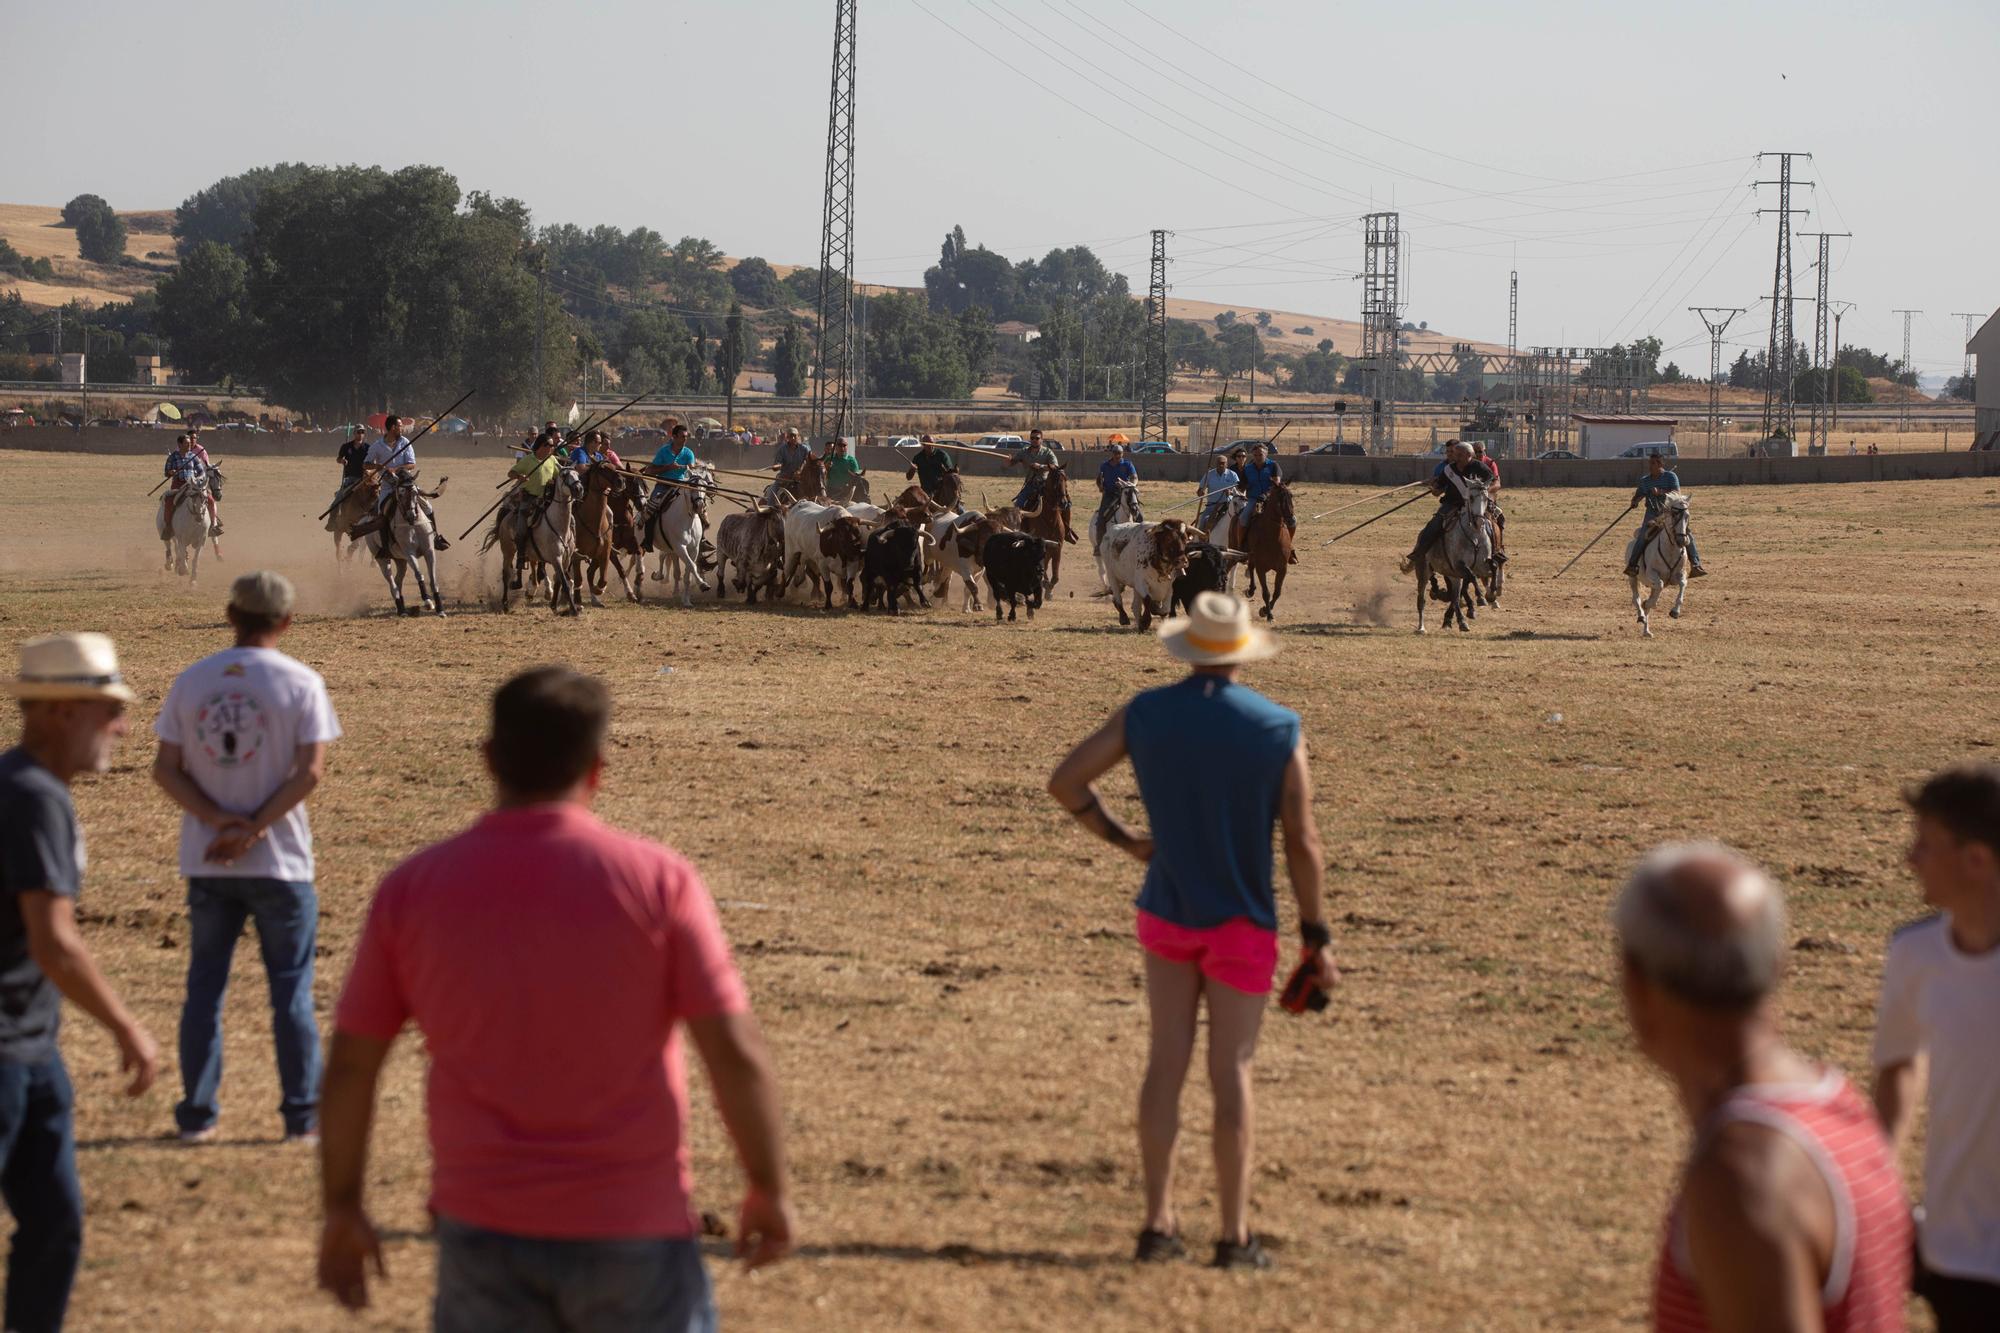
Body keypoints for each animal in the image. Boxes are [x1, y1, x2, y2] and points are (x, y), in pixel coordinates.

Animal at [368, 470, 450, 616]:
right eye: (400, 493)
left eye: (415, 493)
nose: (411, 515)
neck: (413, 525)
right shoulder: (409, 553)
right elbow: (419, 574)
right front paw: (427, 601)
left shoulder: (429, 551)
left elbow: (433, 579)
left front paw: (440, 609)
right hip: (383, 560)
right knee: (392, 584)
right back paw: (401, 609)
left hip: (400, 560)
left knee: (398, 581)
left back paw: (402, 607)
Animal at [1232, 480, 1296, 620]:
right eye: (1280, 498)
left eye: (1291, 496)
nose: (1291, 519)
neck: (1273, 537)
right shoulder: (1261, 568)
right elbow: (1266, 592)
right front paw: (1269, 615)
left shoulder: (1282, 569)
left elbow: (1277, 592)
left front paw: (1265, 610)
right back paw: (1250, 590)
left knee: (1250, 567)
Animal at [1416, 482, 1496, 632]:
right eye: (1471, 497)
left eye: (1486, 498)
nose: (1479, 522)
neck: (1474, 536)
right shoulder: (1459, 564)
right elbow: (1472, 577)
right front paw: (1480, 598)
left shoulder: (1481, 564)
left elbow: (1492, 567)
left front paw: (1491, 595)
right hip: (1423, 572)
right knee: (1421, 600)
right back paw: (1421, 627)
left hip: (1453, 576)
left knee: (1455, 597)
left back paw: (1459, 621)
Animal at [1624, 490, 1688, 636]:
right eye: (1674, 514)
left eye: (1687, 516)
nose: (1682, 540)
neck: (1670, 550)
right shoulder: (1652, 574)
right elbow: (1659, 585)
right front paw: (1648, 604)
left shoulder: (1680, 574)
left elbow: (1683, 584)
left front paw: (1675, 612)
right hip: (1633, 578)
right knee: (1636, 598)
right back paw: (1641, 616)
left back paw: (1647, 631)